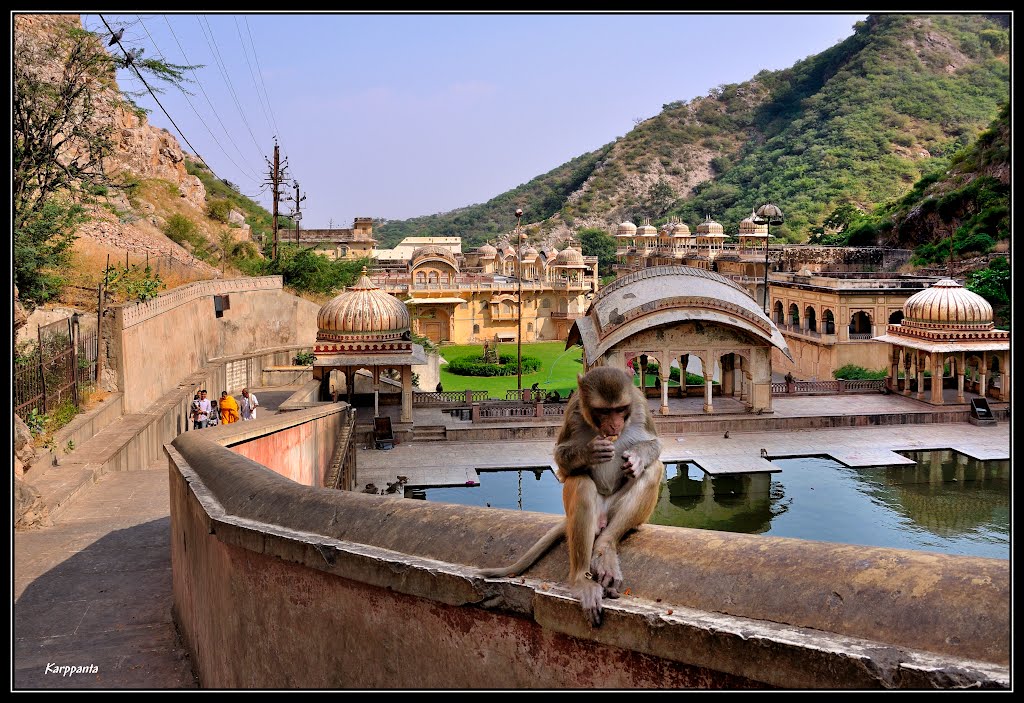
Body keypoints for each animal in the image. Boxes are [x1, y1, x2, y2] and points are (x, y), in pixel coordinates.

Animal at [477, 368, 663, 626]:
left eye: (620, 409)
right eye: (604, 411)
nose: (615, 424)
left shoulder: (640, 406)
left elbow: (655, 444)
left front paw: (636, 457)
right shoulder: (574, 411)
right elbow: (562, 458)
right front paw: (589, 452)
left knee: (653, 470)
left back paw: (605, 547)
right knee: (581, 483)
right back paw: (581, 580)